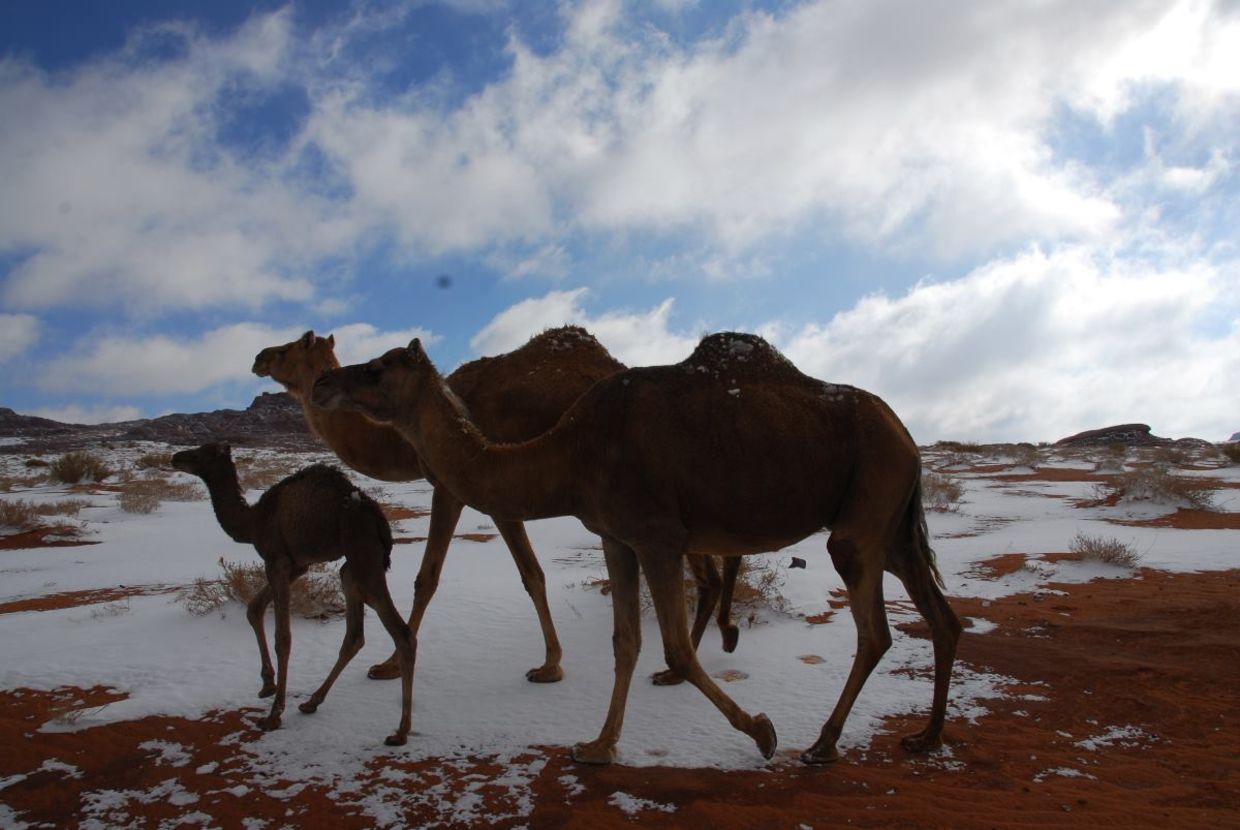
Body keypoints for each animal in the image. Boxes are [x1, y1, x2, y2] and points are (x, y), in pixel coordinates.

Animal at [170, 443, 414, 746]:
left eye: (200, 454)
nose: (175, 458)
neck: (254, 520)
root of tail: (379, 519)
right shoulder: (297, 565)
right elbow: (253, 608)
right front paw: (267, 684)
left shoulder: (276, 560)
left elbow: (283, 638)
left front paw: (274, 715)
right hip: (353, 567)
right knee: (355, 634)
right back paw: (312, 702)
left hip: (364, 557)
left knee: (401, 634)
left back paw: (400, 731)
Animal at [254, 328, 739, 686]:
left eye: (291, 346)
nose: (258, 356)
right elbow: (531, 575)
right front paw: (551, 662)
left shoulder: (458, 488)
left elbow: (432, 578)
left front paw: (390, 664)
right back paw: (708, 647)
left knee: (710, 571)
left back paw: (691, 660)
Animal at [311, 333, 961, 765]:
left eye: (376, 369)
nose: (322, 383)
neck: (572, 451)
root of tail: (906, 434)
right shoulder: (616, 537)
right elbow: (626, 641)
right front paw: (598, 746)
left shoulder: (657, 536)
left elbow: (676, 650)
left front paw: (762, 731)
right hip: (892, 523)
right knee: (942, 617)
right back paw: (925, 737)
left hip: (865, 508)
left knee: (874, 629)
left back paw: (823, 744)